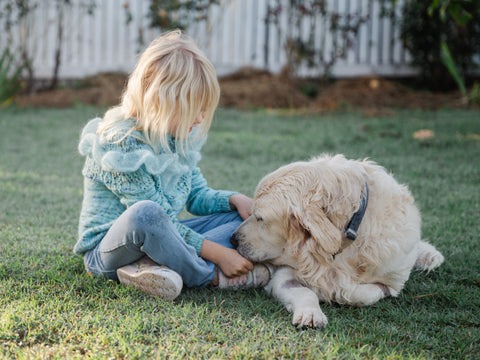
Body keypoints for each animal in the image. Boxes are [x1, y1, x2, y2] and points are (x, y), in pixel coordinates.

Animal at [231, 153, 444, 328]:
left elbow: (362, 293)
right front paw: (311, 313)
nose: (232, 239)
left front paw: (332, 291)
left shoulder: (392, 283)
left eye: (260, 218)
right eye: (251, 212)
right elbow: (304, 292)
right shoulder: (283, 276)